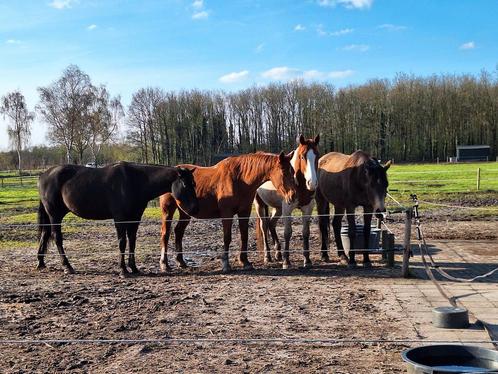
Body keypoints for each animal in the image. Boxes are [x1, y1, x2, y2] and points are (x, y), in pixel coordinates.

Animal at [36, 162, 198, 276]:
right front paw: (123, 270)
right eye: (185, 184)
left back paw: (41, 262)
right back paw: (67, 266)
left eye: (194, 183)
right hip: (55, 215)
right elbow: (122, 242)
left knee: (45, 234)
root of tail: (44, 175)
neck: (134, 181)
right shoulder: (120, 218)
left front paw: (134, 268)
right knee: (57, 238)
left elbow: (132, 241)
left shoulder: (134, 218)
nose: (193, 208)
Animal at [160, 150, 296, 274]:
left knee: (178, 232)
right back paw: (164, 264)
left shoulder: (244, 212)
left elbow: (244, 235)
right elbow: (227, 237)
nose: (293, 195)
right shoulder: (227, 213)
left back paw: (181, 262)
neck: (240, 179)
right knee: (165, 234)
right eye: (284, 172)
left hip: (185, 213)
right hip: (168, 210)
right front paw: (226, 264)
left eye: (293, 172)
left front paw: (245, 261)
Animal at [255, 134, 320, 268]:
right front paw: (287, 262)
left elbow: (306, 232)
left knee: (271, 224)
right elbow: (287, 233)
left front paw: (307, 260)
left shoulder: (308, 209)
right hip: (260, 205)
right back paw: (267, 256)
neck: (298, 184)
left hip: (278, 208)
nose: (312, 183)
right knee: (264, 227)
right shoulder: (287, 209)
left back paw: (278, 254)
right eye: (302, 156)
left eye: (317, 156)